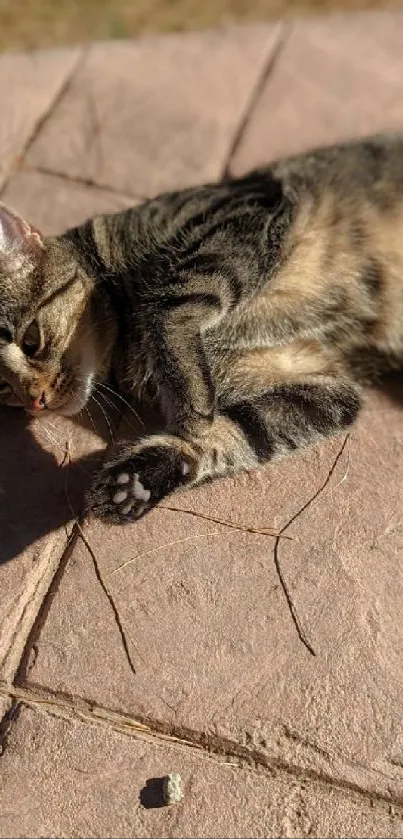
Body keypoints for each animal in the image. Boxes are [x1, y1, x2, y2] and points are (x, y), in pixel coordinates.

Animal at [0, 134, 403, 520]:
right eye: (4, 390)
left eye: (31, 340)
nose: (35, 400)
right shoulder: (325, 389)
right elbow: (243, 433)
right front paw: (141, 481)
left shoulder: (241, 215)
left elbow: (170, 309)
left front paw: (190, 411)